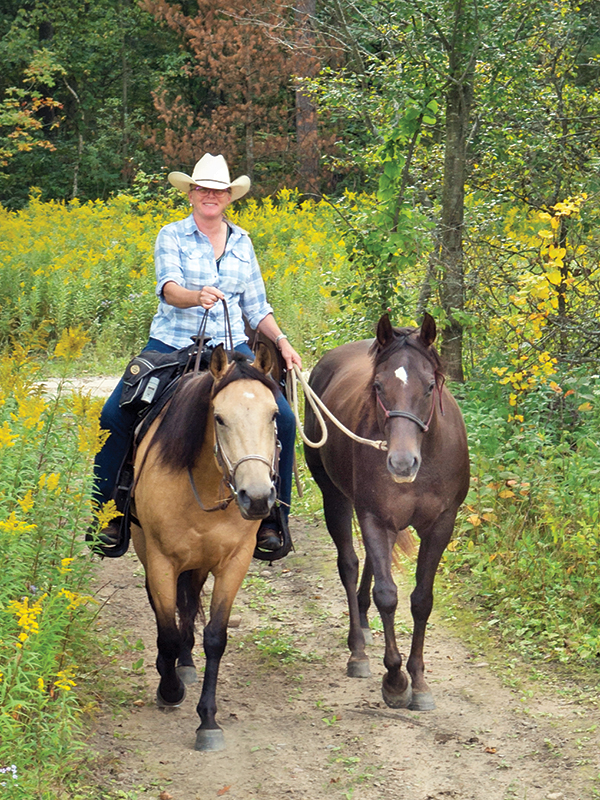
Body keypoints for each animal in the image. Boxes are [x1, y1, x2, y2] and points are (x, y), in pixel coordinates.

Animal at [130, 344, 280, 752]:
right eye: (220, 418)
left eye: (275, 414)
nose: (256, 498)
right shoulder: (161, 560)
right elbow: (165, 629)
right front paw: (169, 691)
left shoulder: (234, 562)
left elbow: (215, 637)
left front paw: (208, 721)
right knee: (163, 609)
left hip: (198, 563)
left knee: (188, 604)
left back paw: (186, 663)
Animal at [304, 314, 468, 712]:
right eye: (378, 385)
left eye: (429, 386)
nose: (401, 463)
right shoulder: (374, 518)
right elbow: (387, 595)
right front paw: (395, 680)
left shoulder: (441, 525)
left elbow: (421, 600)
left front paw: (419, 681)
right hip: (335, 497)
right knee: (349, 564)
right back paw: (358, 649)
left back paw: (363, 621)